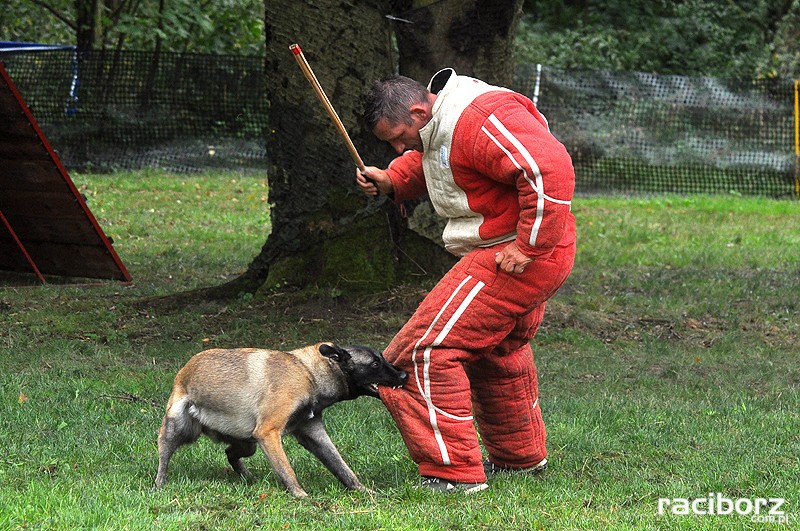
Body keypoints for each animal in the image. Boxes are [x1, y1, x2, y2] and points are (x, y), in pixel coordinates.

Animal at [154, 342, 410, 496]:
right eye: (375, 364)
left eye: (382, 358)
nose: (404, 375)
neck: (309, 373)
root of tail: (186, 368)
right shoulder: (269, 433)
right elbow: (287, 471)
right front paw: (300, 496)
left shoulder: (314, 436)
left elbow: (342, 468)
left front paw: (364, 491)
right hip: (177, 427)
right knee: (164, 458)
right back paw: (159, 484)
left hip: (248, 443)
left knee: (230, 454)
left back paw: (248, 477)